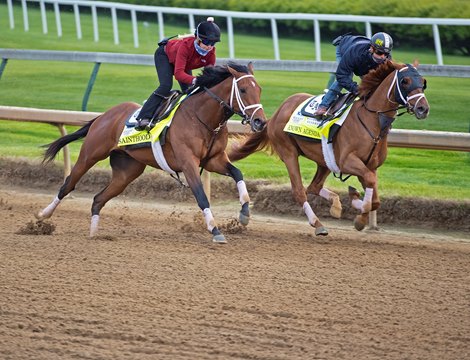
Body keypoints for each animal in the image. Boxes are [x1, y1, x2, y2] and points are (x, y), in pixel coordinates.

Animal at [36, 62, 266, 243]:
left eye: (260, 89)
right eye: (243, 90)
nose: (260, 122)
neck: (202, 118)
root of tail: (104, 115)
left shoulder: (213, 160)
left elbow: (237, 173)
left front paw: (244, 213)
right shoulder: (188, 163)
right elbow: (201, 196)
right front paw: (215, 230)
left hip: (127, 172)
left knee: (98, 199)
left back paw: (93, 233)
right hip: (90, 154)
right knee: (68, 185)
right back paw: (42, 216)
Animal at [229, 61, 430, 236]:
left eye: (423, 82)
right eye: (405, 81)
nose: (423, 108)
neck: (372, 122)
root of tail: (275, 114)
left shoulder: (369, 166)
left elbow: (376, 198)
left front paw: (357, 207)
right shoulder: (347, 161)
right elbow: (371, 187)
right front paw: (359, 211)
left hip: (324, 160)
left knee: (314, 186)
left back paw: (335, 204)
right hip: (289, 152)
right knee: (300, 191)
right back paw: (318, 224)